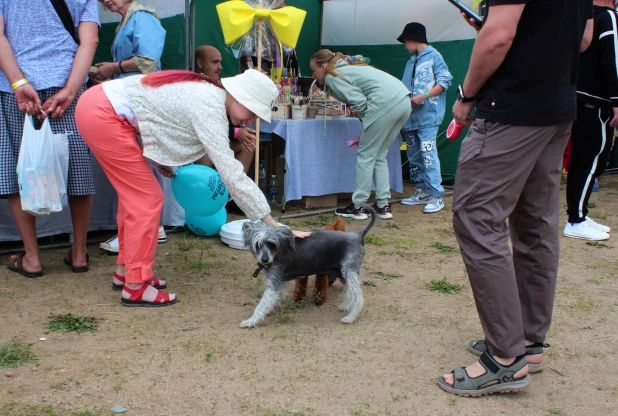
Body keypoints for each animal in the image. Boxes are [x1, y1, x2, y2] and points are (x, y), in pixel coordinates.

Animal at [239, 205, 376, 328]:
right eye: (258, 245)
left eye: (271, 244)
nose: (264, 259)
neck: (277, 252)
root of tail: (358, 235)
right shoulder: (280, 283)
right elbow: (274, 300)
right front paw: (270, 310)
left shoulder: (273, 286)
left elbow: (261, 305)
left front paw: (250, 321)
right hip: (343, 275)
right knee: (351, 293)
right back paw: (347, 307)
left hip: (349, 273)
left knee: (358, 297)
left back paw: (350, 317)